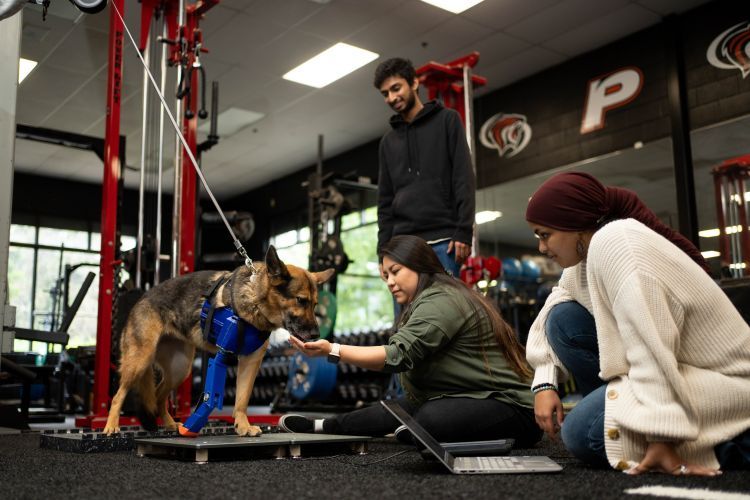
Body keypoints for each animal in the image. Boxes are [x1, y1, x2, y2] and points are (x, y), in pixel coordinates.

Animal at [103, 246, 334, 438]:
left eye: (315, 305)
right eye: (301, 300)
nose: (316, 335)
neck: (254, 301)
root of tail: (141, 299)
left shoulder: (250, 362)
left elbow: (242, 398)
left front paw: (242, 425)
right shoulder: (223, 354)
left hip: (179, 368)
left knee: (159, 396)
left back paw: (170, 423)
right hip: (140, 361)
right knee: (118, 395)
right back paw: (112, 425)